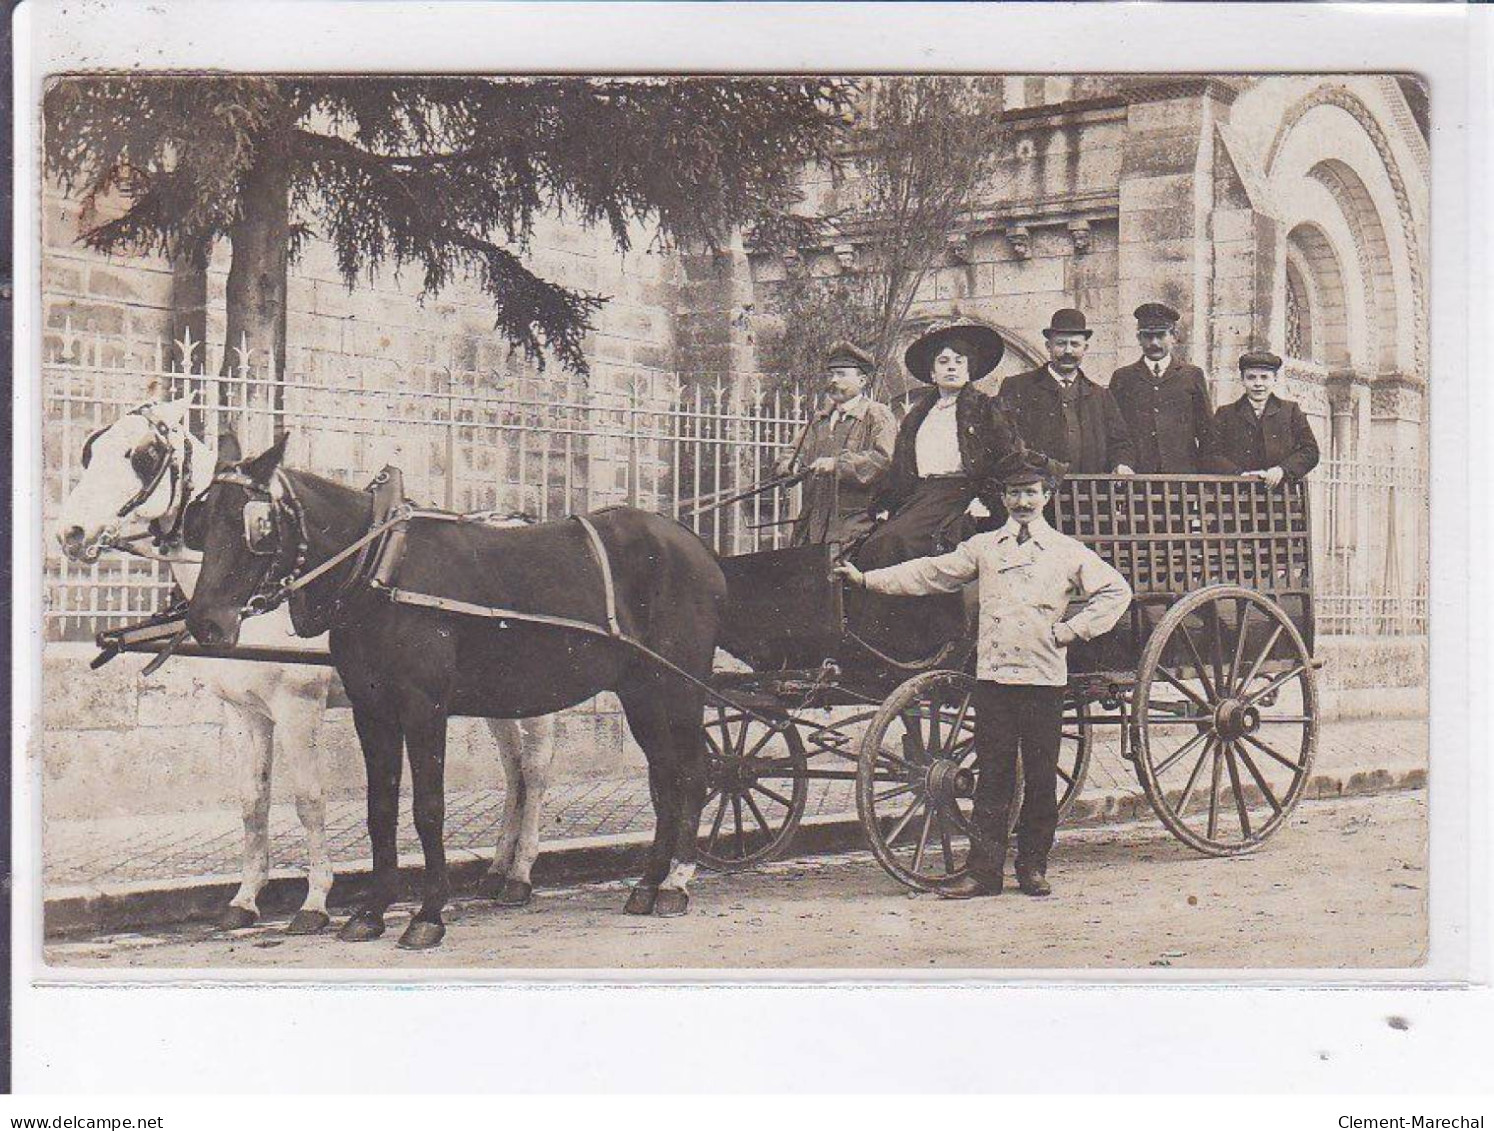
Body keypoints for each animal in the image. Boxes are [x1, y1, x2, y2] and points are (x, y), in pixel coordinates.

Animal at [55, 394, 561, 926]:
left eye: (145, 455)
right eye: (91, 449)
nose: (70, 533)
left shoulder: (298, 707)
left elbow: (308, 799)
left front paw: (316, 900)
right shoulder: (246, 713)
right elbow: (252, 801)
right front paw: (245, 898)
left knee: (536, 769)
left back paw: (520, 874)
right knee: (513, 768)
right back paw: (498, 868)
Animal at [185, 436, 723, 950]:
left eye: (256, 525)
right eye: (201, 517)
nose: (206, 623)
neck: (380, 566)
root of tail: (694, 544)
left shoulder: (421, 707)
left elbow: (427, 807)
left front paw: (426, 915)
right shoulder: (369, 710)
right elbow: (378, 807)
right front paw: (370, 912)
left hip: (678, 687)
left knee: (690, 773)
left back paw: (674, 882)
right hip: (640, 691)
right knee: (663, 776)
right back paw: (646, 885)